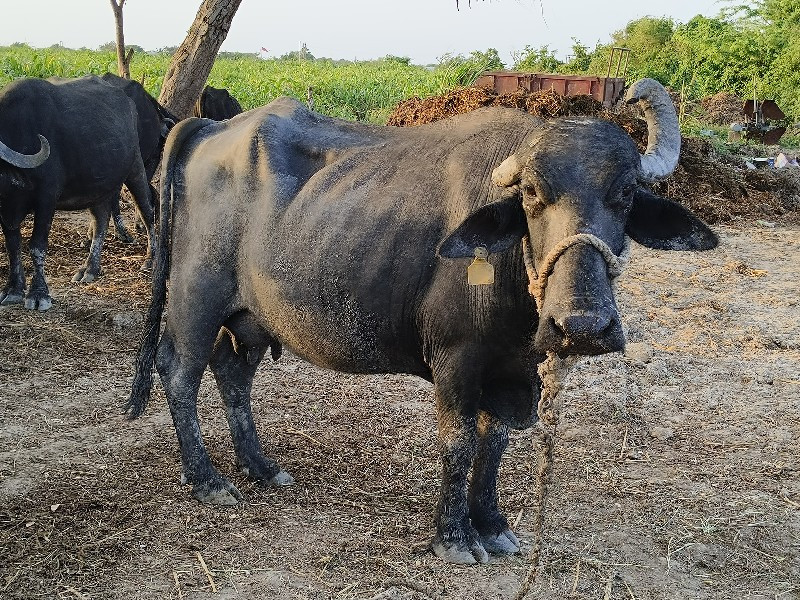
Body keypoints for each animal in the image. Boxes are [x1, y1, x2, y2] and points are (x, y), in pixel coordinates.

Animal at [0, 75, 156, 310]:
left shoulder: (47, 198)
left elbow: (37, 245)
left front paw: (38, 294)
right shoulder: (5, 210)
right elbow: (12, 245)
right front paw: (13, 289)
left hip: (136, 168)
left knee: (147, 211)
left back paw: (150, 260)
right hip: (98, 187)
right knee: (101, 220)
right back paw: (90, 269)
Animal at [130, 78, 720, 564]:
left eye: (624, 194)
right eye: (532, 194)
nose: (582, 325)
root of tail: (210, 128)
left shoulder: (510, 370)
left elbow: (494, 442)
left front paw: (493, 525)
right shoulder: (456, 360)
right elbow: (458, 442)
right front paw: (454, 537)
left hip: (251, 317)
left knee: (233, 375)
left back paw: (260, 467)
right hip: (195, 298)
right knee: (179, 372)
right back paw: (207, 480)